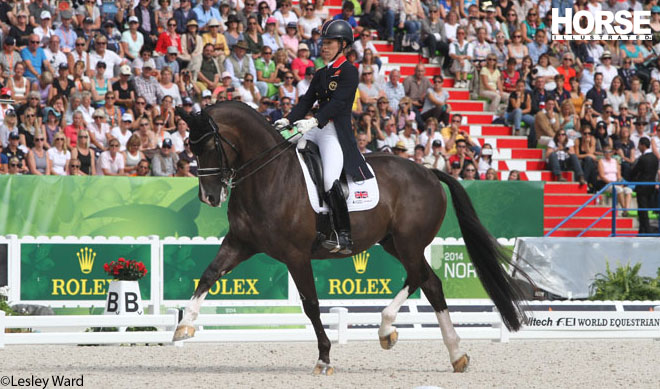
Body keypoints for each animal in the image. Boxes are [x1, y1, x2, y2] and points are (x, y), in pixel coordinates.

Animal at [174, 101, 524, 374]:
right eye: (190, 146)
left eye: (209, 146)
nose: (208, 197)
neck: (268, 176)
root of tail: (428, 172)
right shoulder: (240, 244)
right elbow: (208, 275)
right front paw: (183, 326)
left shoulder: (296, 255)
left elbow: (311, 305)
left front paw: (324, 358)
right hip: (394, 243)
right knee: (429, 281)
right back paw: (434, 346)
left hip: (409, 242)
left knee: (422, 279)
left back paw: (415, 338)